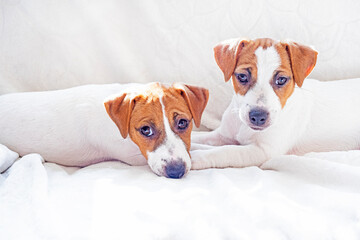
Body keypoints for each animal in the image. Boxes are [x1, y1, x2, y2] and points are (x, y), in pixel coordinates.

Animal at [0, 82, 208, 178]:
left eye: (183, 123)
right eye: (145, 130)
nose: (176, 172)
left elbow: (199, 140)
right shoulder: (134, 157)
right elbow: (199, 149)